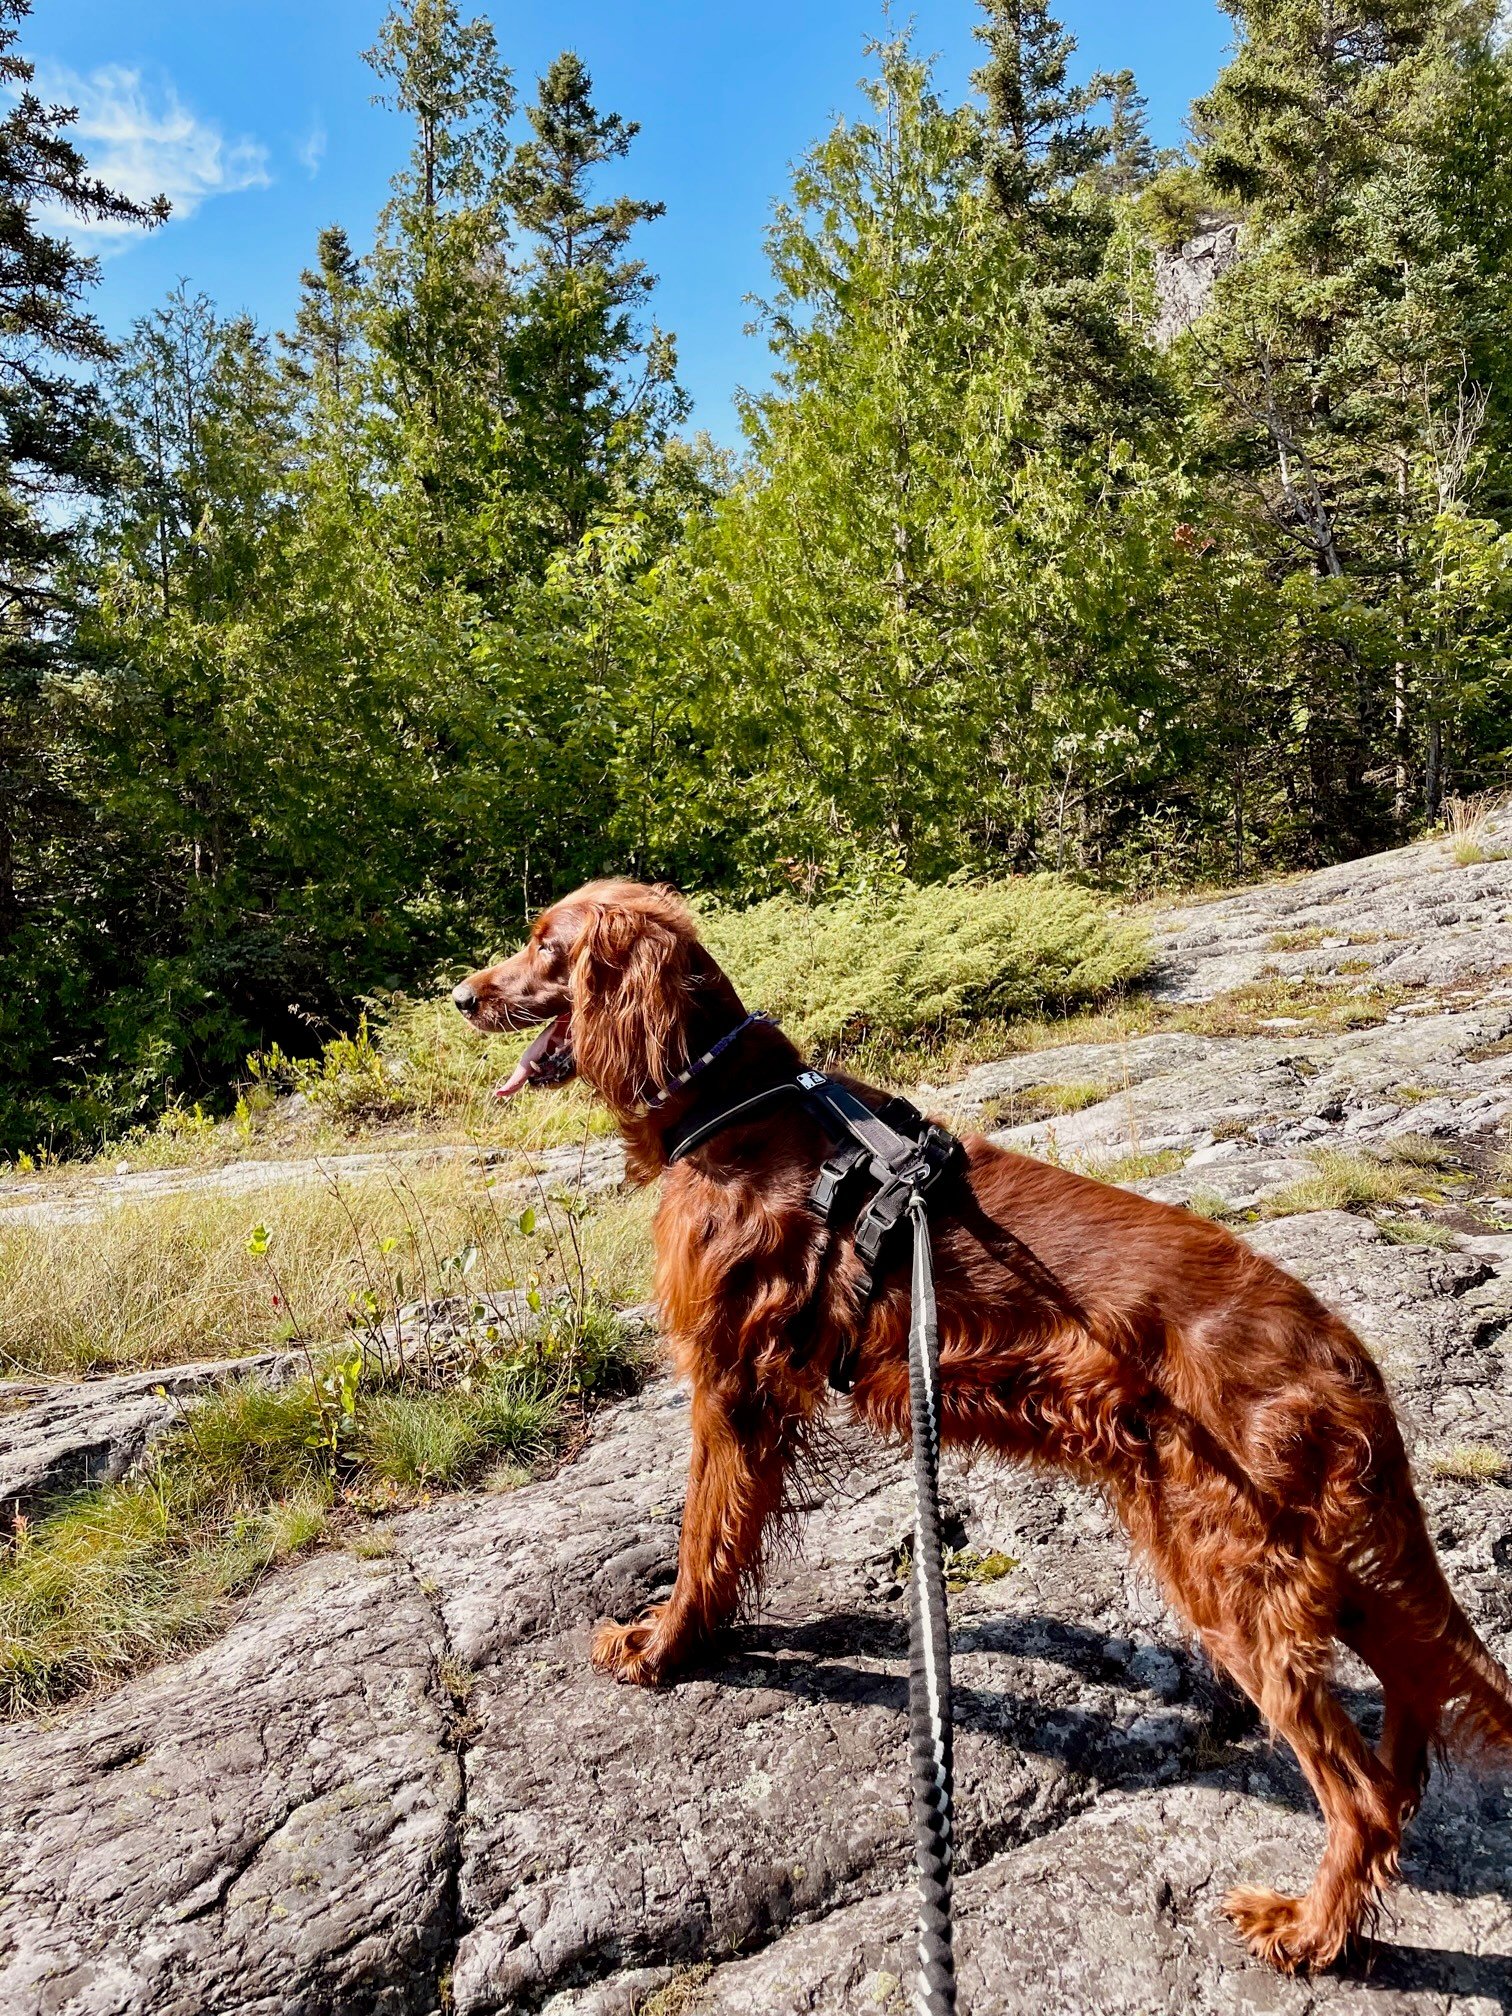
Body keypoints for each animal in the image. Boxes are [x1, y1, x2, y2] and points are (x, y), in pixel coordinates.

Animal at [455, 878, 1512, 1967]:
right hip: (1323, 1559)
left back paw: (1308, 1929)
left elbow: (703, 1536)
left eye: (545, 947)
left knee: (1363, 1792)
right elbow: (732, 1535)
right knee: (1409, 1727)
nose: (461, 996)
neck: (726, 1101)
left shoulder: (728, 1385)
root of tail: (1341, 1350)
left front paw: (664, 1647)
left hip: (1232, 1567)